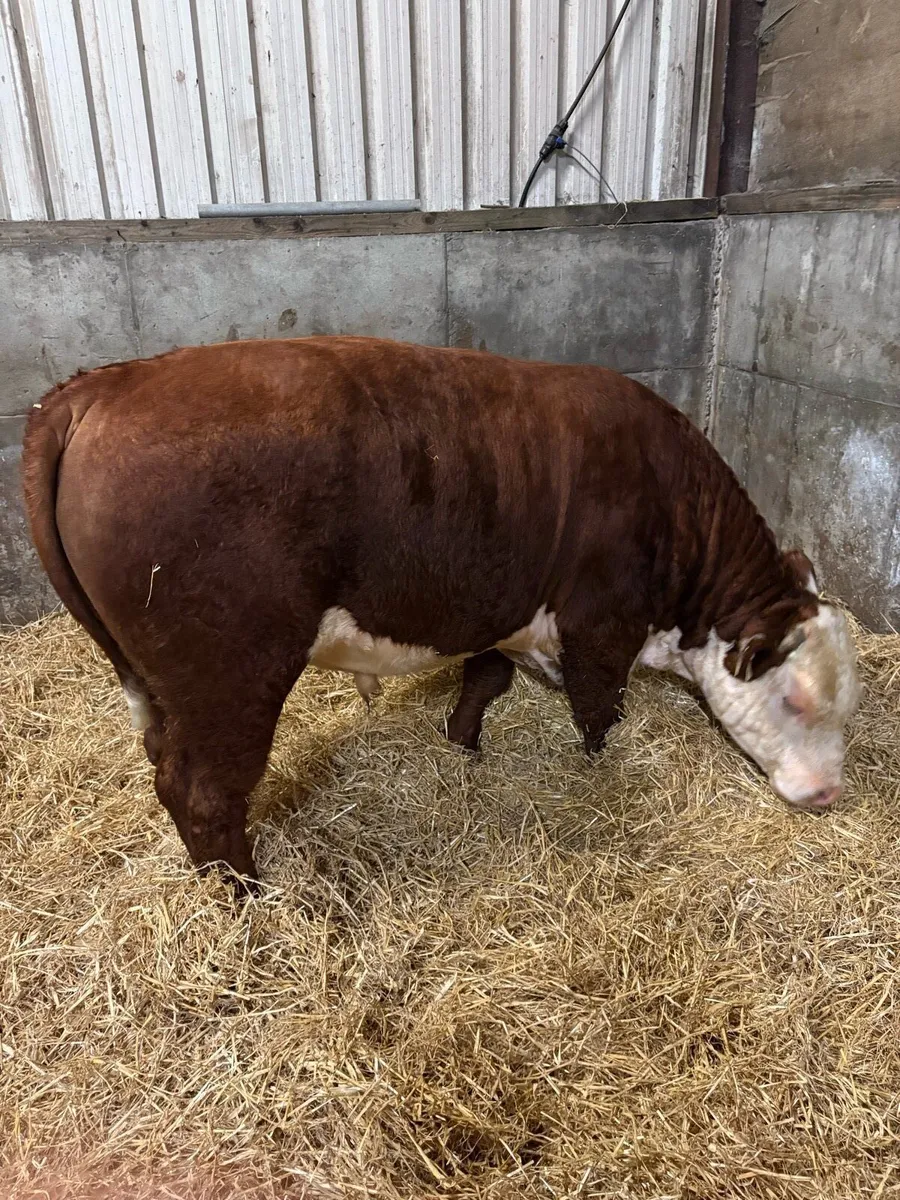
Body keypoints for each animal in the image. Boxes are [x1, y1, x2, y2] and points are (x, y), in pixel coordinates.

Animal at [23, 337, 860, 886]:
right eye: (794, 699)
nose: (829, 795)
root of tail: (100, 387)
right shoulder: (601, 625)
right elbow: (599, 710)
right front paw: (596, 769)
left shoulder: (499, 611)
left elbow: (485, 679)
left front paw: (464, 744)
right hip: (228, 672)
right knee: (199, 789)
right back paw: (244, 893)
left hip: (156, 677)